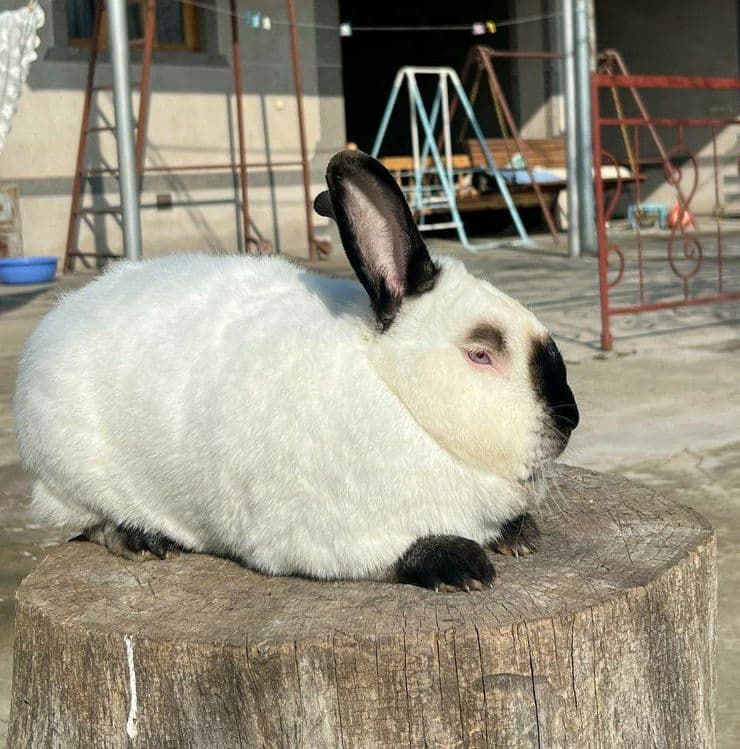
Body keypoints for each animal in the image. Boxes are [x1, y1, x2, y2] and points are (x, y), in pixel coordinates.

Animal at [13, 150, 578, 591]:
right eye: (481, 353)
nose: (569, 418)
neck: (396, 395)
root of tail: (55, 323)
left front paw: (521, 536)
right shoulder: (322, 539)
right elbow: (399, 554)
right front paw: (461, 565)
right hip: (71, 474)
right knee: (87, 522)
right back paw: (141, 537)